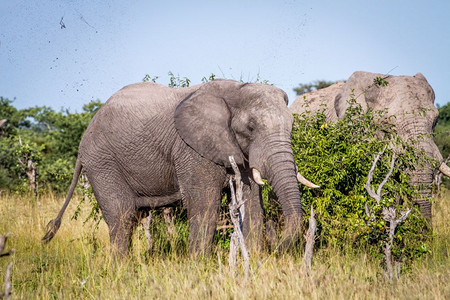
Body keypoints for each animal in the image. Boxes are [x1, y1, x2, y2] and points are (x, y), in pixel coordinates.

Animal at [41, 78, 316, 256]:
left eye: (292, 126)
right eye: (250, 127)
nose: (277, 248)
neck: (234, 90)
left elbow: (252, 203)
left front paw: (256, 262)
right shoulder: (191, 149)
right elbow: (205, 204)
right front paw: (199, 267)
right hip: (102, 163)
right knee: (122, 216)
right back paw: (121, 271)